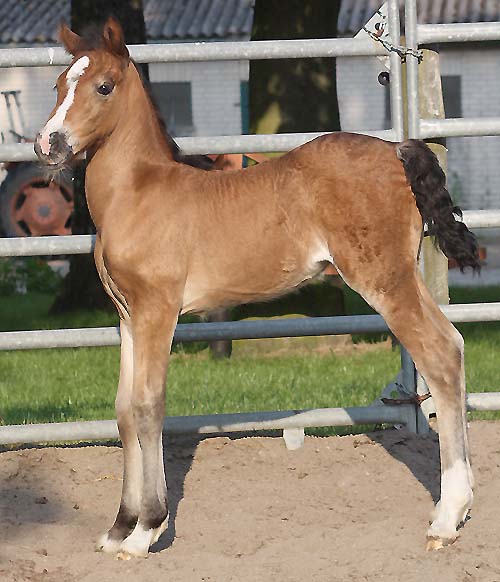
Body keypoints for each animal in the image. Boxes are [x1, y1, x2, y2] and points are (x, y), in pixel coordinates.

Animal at [35, 18, 480, 560]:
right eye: (59, 85)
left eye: (103, 86)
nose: (48, 144)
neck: (140, 193)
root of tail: (396, 149)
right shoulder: (127, 316)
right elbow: (123, 410)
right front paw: (119, 526)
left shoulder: (158, 311)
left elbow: (148, 405)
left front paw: (146, 530)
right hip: (402, 277)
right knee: (453, 344)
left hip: (384, 281)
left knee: (438, 354)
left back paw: (446, 519)